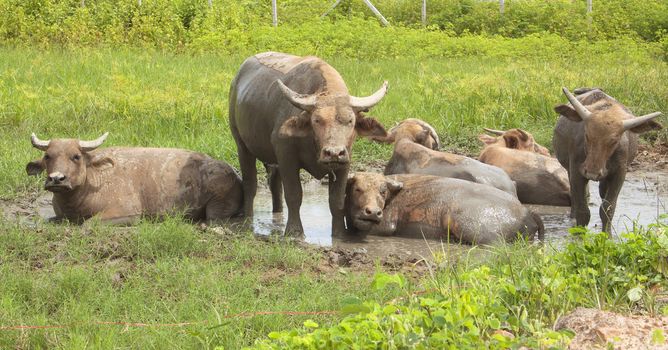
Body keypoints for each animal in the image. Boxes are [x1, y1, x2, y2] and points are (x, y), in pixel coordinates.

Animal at [228, 52, 386, 237]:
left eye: (350, 120)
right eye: (316, 120)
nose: (333, 153)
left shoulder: (344, 162)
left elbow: (337, 200)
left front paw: (339, 233)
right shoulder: (286, 156)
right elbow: (294, 194)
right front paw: (294, 231)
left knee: (274, 182)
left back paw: (277, 214)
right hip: (241, 145)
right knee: (250, 184)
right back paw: (248, 220)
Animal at [552, 87, 664, 232]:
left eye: (614, 141)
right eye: (587, 135)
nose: (592, 173)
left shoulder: (619, 175)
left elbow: (607, 209)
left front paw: (607, 234)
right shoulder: (576, 171)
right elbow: (583, 211)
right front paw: (579, 234)